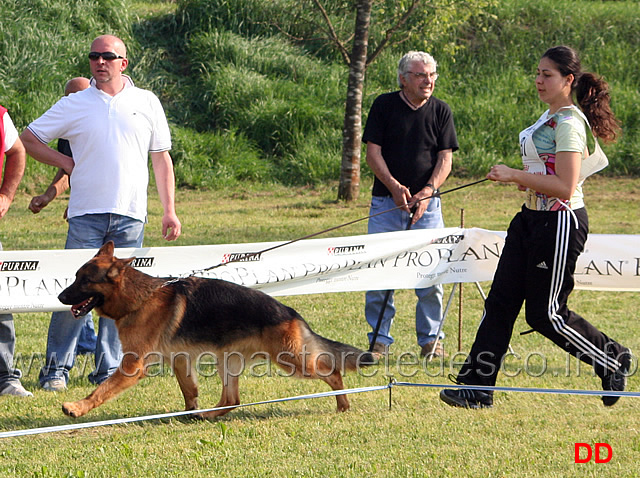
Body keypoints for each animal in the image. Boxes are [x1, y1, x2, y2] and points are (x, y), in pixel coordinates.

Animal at [57, 243, 376, 418]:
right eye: (75, 277)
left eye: (84, 280)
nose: (60, 298)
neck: (140, 297)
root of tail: (290, 312)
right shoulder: (180, 359)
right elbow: (190, 390)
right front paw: (189, 412)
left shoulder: (133, 366)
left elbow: (102, 389)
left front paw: (78, 407)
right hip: (229, 360)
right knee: (231, 400)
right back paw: (208, 414)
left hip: (290, 361)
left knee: (332, 371)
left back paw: (343, 404)